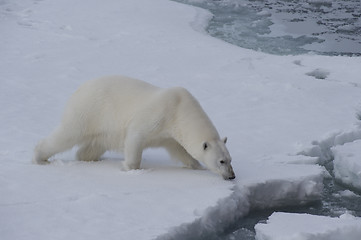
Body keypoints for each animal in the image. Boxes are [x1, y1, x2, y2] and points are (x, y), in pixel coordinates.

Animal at [33, 76, 235, 179]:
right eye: (221, 161)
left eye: (229, 159)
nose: (232, 176)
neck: (180, 109)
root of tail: (80, 88)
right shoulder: (159, 115)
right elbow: (136, 136)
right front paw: (131, 168)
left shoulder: (171, 134)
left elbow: (180, 150)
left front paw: (197, 166)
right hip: (89, 111)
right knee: (67, 134)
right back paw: (39, 157)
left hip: (103, 130)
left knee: (92, 146)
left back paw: (92, 158)